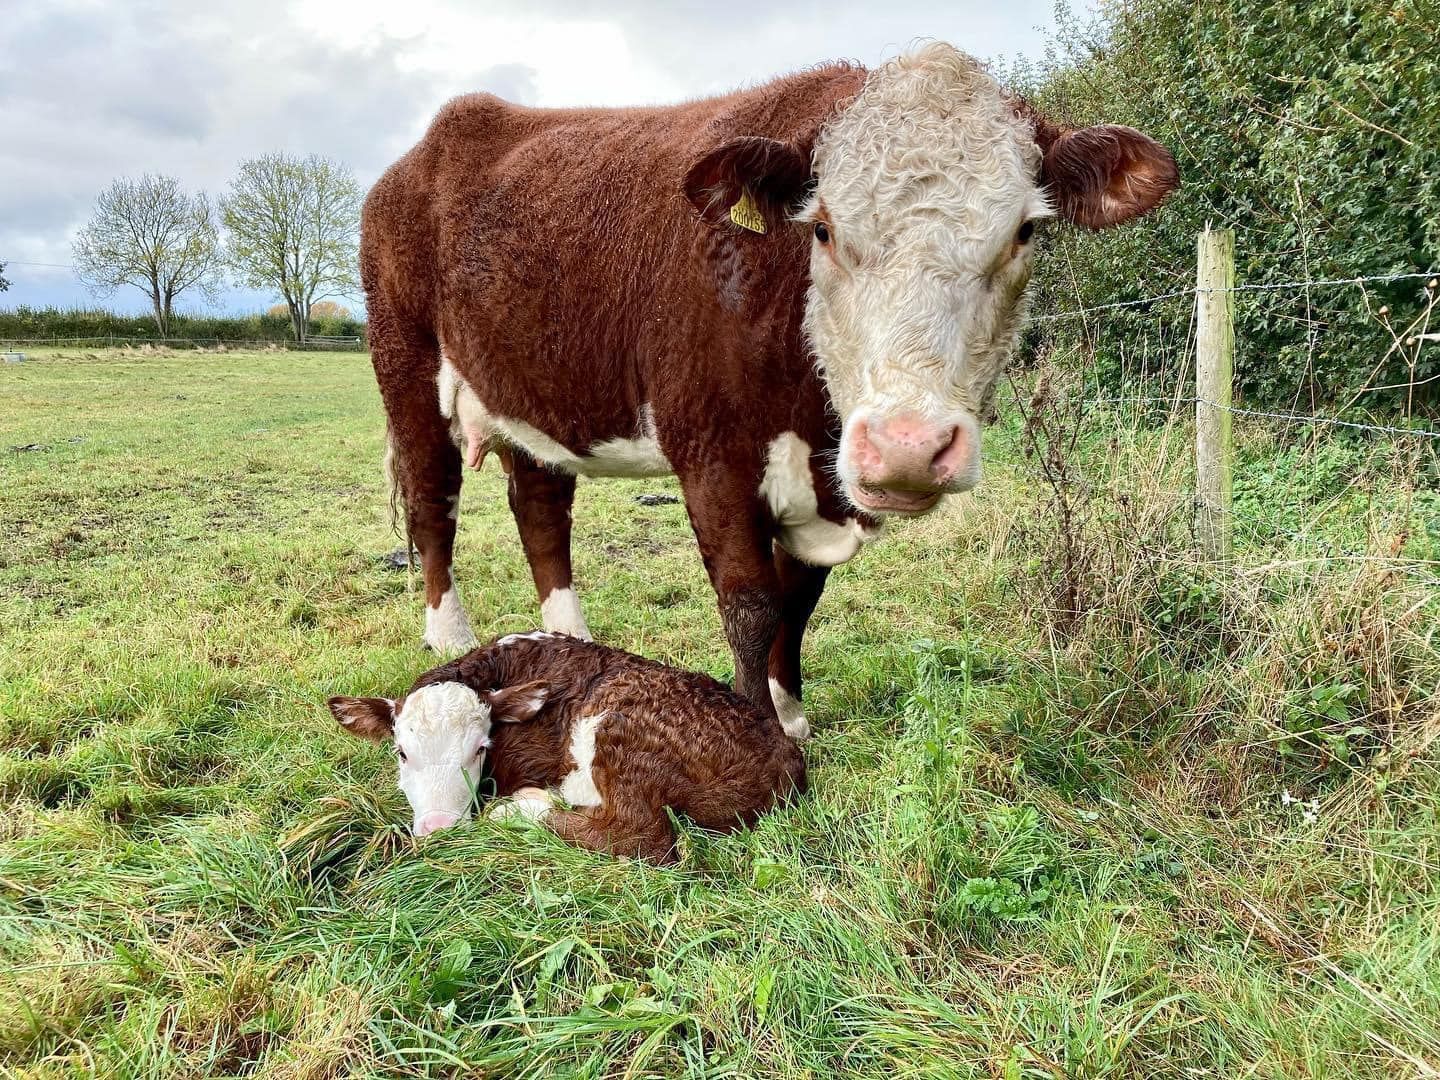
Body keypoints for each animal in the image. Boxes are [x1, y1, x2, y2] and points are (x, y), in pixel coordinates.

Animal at [329, 631, 806, 862]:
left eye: (481, 747)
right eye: (402, 753)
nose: (439, 829)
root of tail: (785, 756)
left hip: (616, 729)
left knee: (643, 836)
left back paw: (523, 809)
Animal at [361, 42, 1178, 741]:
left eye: (1025, 232)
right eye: (822, 228)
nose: (907, 448)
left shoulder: (826, 484)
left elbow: (798, 600)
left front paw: (790, 710)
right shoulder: (712, 453)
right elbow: (750, 602)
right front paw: (759, 729)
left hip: (534, 388)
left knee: (538, 509)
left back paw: (569, 640)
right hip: (404, 364)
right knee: (434, 502)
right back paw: (449, 635)